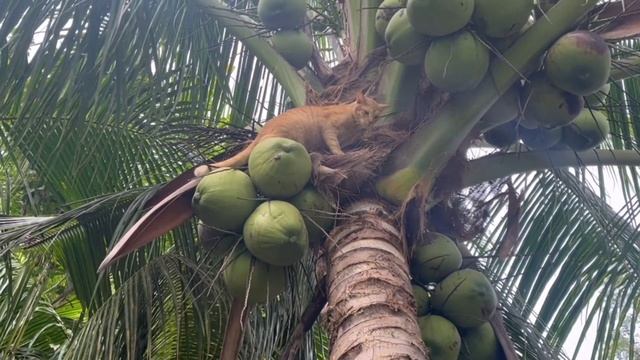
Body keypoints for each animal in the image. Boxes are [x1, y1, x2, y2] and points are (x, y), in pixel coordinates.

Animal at [202, 92, 388, 172]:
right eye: (365, 113)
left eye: (376, 116)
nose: (370, 122)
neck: (354, 127)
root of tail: (261, 133)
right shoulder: (328, 127)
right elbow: (334, 144)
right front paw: (340, 153)